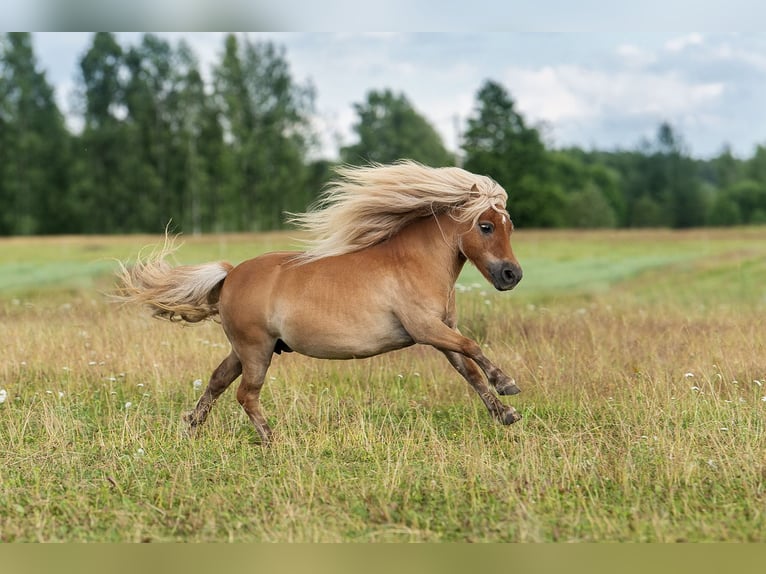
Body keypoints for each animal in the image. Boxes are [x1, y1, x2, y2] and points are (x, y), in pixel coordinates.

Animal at [117, 161, 524, 446]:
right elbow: (473, 347)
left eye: (509, 226)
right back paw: (272, 439)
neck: (413, 263)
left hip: (244, 349)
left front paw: (505, 412)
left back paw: (191, 427)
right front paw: (507, 383)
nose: (512, 275)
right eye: (486, 226)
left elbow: (469, 370)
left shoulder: (442, 332)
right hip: (256, 350)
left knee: (217, 382)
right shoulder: (426, 329)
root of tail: (231, 275)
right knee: (245, 394)